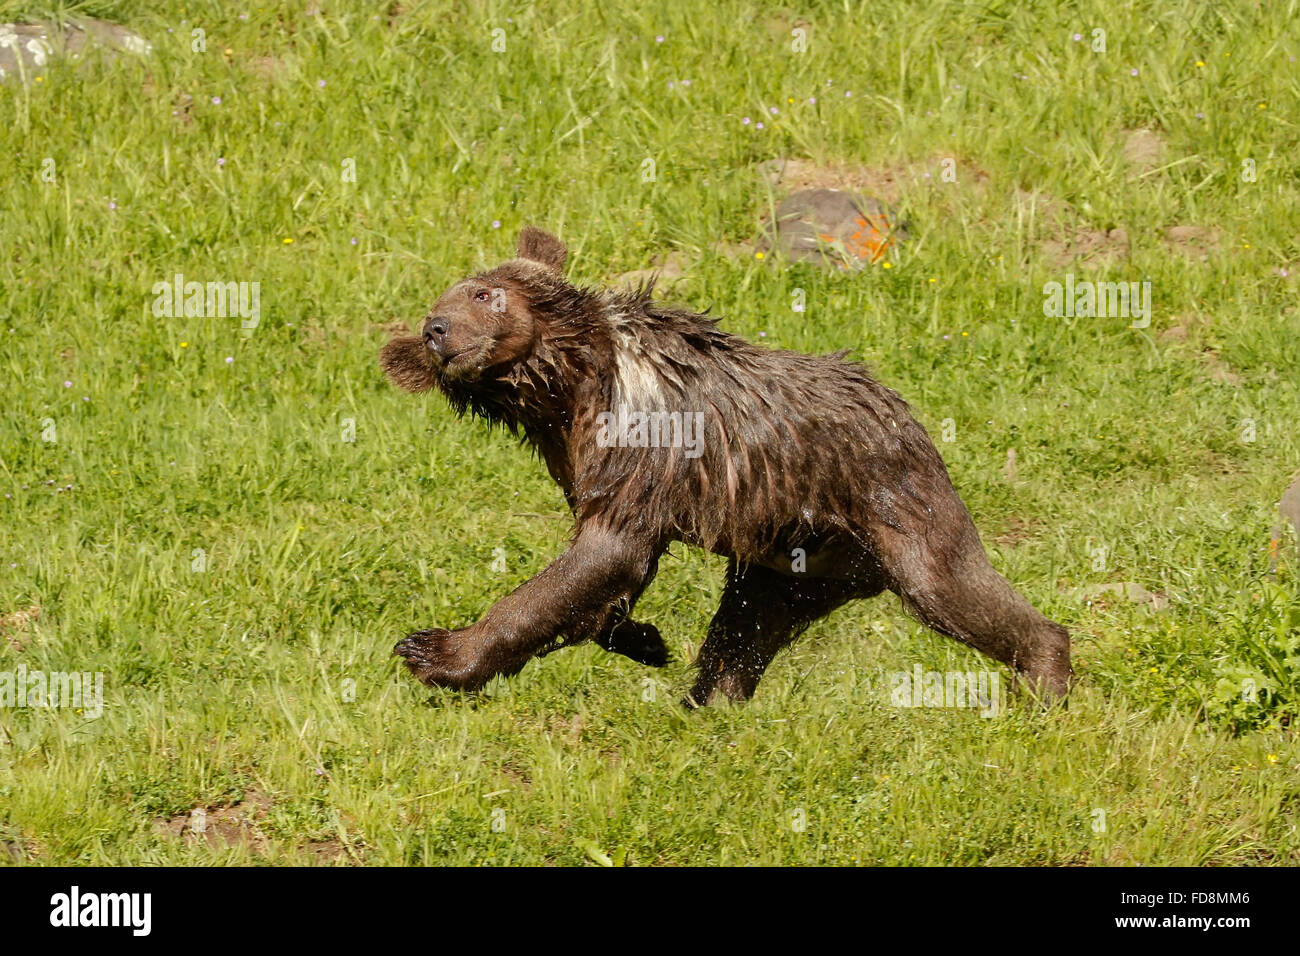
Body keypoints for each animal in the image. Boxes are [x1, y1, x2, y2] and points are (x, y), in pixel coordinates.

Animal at [379, 223, 1071, 702]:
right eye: (432, 315)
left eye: (482, 291)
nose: (438, 330)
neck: (563, 390)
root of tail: (903, 409)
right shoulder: (577, 463)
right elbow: (603, 579)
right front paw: (645, 640)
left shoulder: (639, 445)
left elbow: (601, 557)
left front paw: (434, 652)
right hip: (794, 556)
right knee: (746, 627)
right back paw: (711, 701)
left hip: (889, 501)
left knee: (950, 584)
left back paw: (1044, 677)